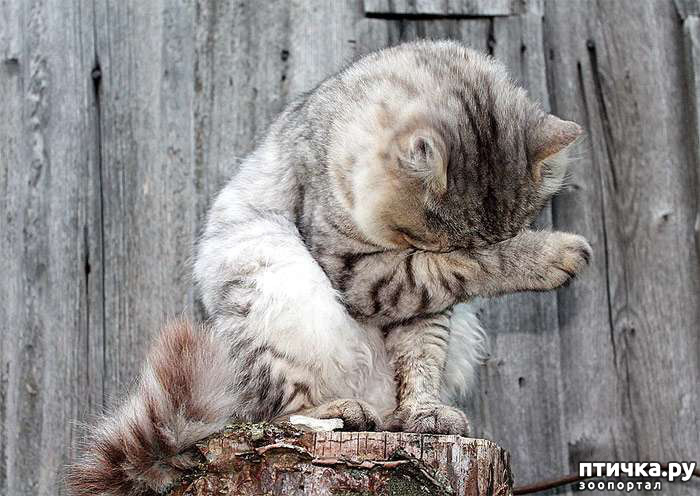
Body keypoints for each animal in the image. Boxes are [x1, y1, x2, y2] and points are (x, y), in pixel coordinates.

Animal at [67, 40, 590, 495]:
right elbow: (458, 268)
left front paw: (424, 413)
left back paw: (390, 416)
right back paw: (344, 410)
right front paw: (551, 254)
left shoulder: (427, 310)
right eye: (434, 239)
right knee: (277, 412)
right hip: (276, 285)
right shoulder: (362, 272)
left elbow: (420, 357)